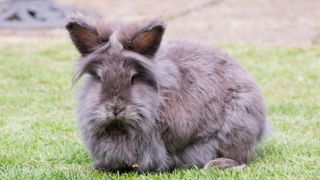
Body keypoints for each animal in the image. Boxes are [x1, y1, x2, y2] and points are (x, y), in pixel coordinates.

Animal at [66, 14, 268, 172]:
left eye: (133, 78)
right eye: (99, 78)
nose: (115, 108)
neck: (119, 127)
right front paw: (101, 166)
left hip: (239, 123)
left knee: (240, 157)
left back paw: (216, 164)